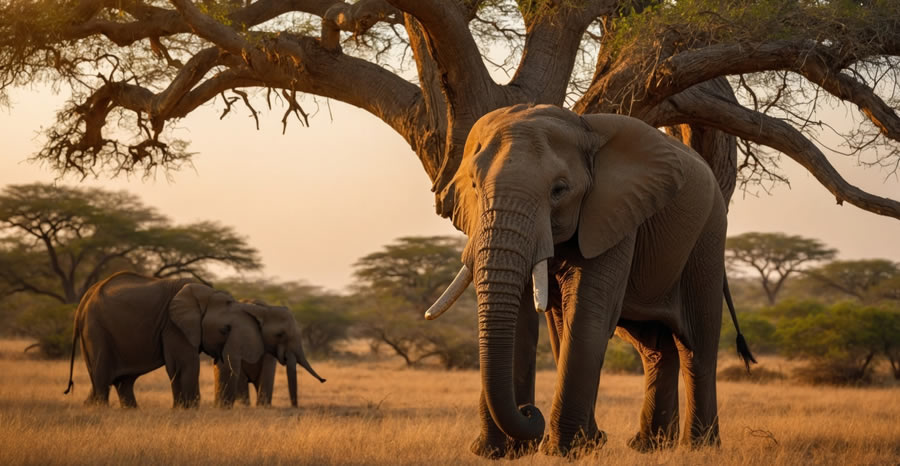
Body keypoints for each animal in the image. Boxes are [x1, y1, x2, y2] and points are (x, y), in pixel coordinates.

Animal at [63, 272, 326, 408]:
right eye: (280, 335)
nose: (324, 380)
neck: (207, 295)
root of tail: (83, 301)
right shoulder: (173, 325)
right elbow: (186, 363)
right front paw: (188, 410)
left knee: (119, 380)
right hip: (97, 330)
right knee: (103, 377)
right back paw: (100, 409)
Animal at [424, 104, 755, 457]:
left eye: (559, 190)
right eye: (474, 186)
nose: (529, 412)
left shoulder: (614, 213)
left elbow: (586, 313)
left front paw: (564, 450)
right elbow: (531, 318)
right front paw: (496, 452)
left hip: (707, 239)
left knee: (697, 347)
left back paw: (698, 448)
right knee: (654, 348)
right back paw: (649, 447)